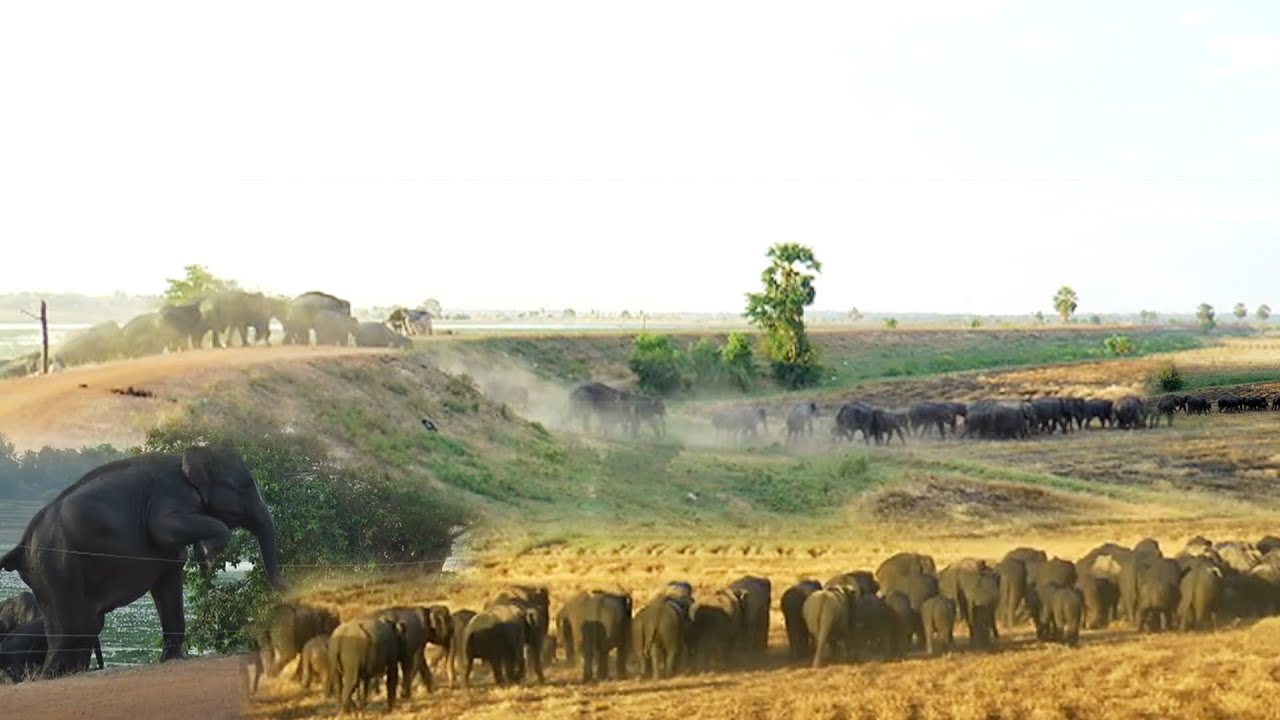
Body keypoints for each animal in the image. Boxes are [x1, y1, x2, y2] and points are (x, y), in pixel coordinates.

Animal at [0, 447, 283, 678]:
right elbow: (162, 528)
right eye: (245, 486)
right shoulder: (169, 494)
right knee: (75, 627)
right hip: (57, 565)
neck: (187, 457)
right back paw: (50, 676)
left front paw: (173, 659)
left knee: (86, 627)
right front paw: (209, 554)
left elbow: (170, 576)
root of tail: (22, 544)